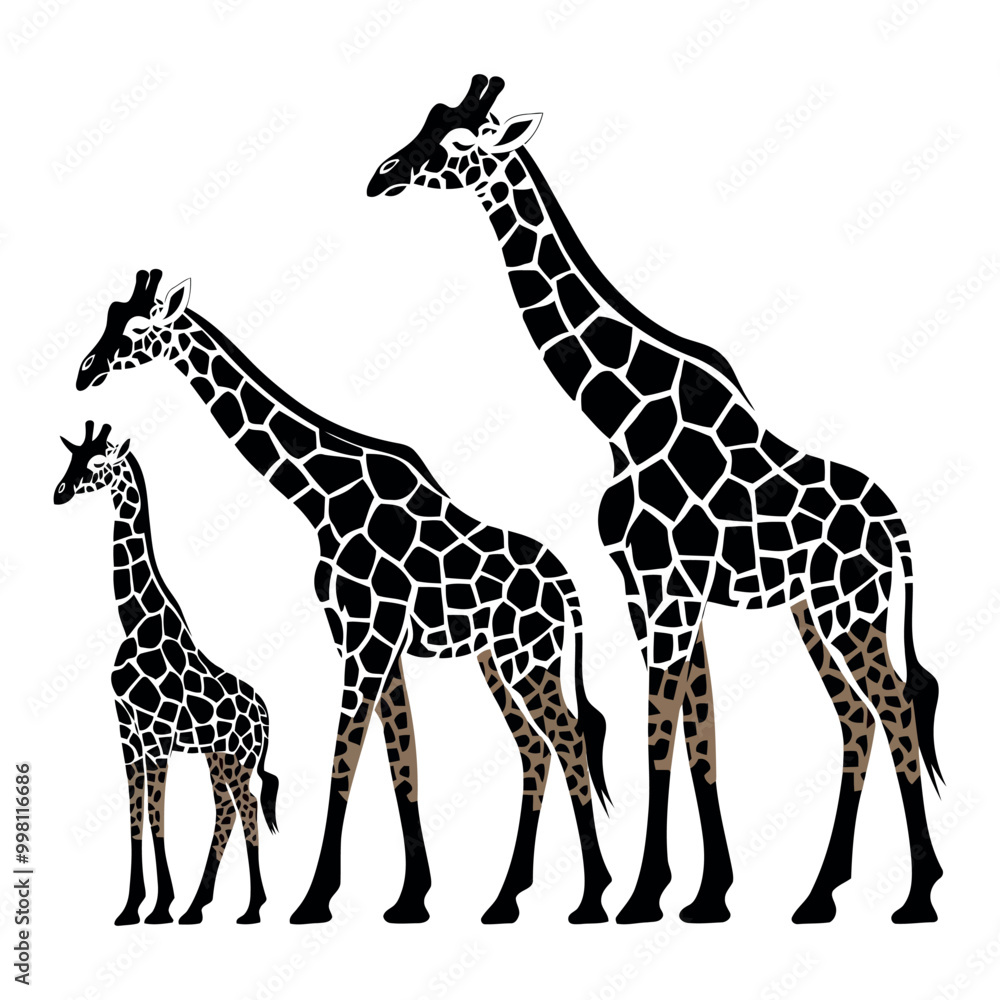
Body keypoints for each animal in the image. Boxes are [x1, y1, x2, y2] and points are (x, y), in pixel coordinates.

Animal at [53, 421, 279, 925]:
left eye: (98, 461)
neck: (134, 620)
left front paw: (159, 906)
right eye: (71, 458)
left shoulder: (157, 735)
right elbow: (135, 815)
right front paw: (131, 906)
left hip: (238, 756)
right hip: (218, 755)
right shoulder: (127, 730)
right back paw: (200, 905)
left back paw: (251, 907)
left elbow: (158, 816)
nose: (59, 493)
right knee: (227, 808)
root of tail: (266, 713)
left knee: (248, 804)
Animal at [368, 74, 945, 924]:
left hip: (853, 606)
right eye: (427, 124)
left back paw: (918, 895)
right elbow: (697, 731)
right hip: (814, 610)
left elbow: (657, 732)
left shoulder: (664, 587)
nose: (382, 176)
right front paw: (707, 892)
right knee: (856, 717)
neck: (619, 416)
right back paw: (820, 893)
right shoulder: (658, 590)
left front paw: (645, 894)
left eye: (464, 142)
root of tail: (899, 532)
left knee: (896, 707)